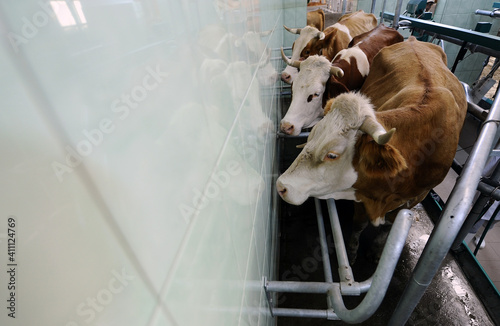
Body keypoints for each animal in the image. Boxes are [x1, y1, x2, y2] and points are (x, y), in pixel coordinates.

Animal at [276, 37, 466, 262]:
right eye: (293, 89)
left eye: (332, 155)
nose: (281, 185)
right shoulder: (362, 192)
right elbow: (359, 224)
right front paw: (351, 252)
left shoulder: (414, 198)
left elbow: (387, 229)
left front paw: (377, 251)